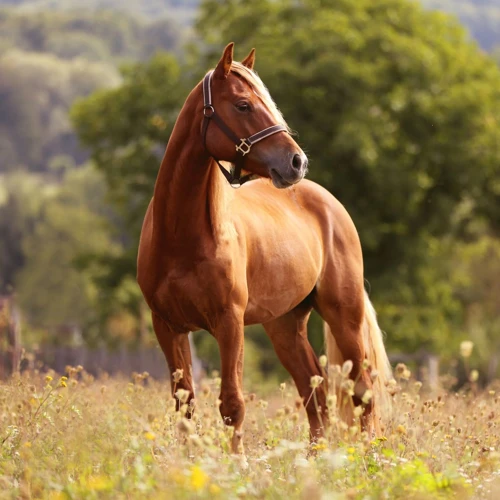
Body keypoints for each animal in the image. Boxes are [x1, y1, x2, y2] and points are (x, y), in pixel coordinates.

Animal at [137, 43, 390, 454]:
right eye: (243, 105)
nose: (297, 161)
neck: (181, 238)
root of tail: (328, 202)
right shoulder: (168, 326)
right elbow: (184, 405)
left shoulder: (229, 322)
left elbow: (232, 404)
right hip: (285, 325)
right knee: (315, 393)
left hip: (344, 315)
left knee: (361, 391)